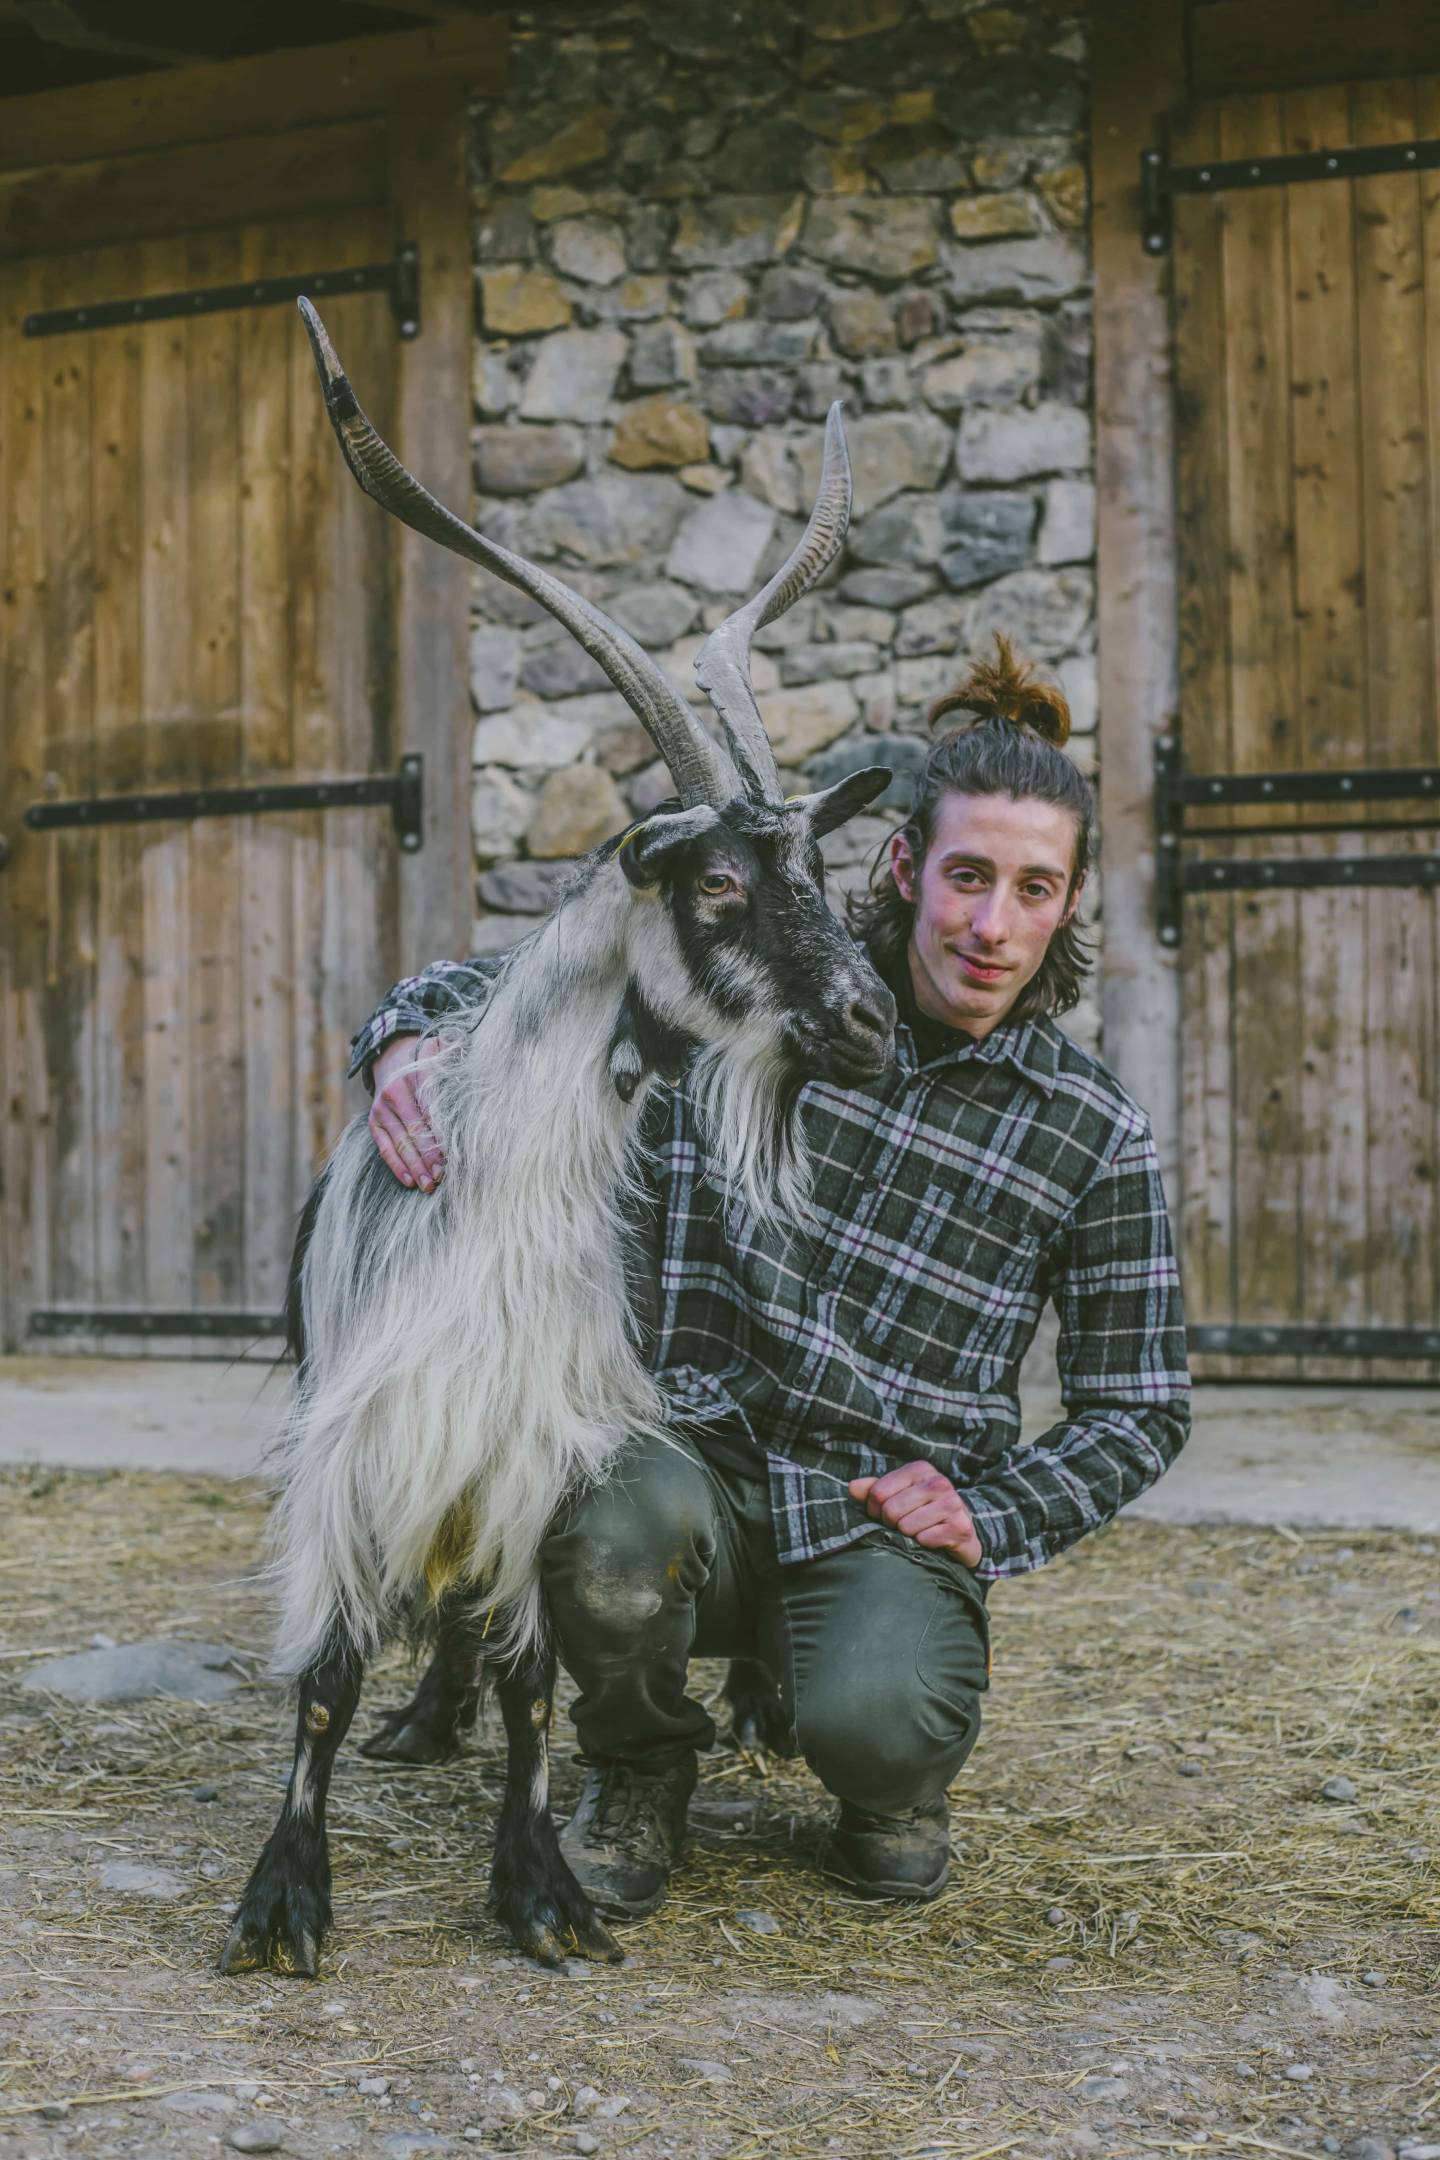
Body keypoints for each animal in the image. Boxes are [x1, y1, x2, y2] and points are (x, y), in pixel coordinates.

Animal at [219, 301, 897, 1980]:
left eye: (824, 866)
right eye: (715, 885)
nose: (870, 1026)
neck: (493, 1194)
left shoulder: (537, 1445)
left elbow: (538, 1678)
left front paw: (540, 1887)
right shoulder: (363, 1438)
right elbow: (320, 1675)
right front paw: (282, 1899)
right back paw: (417, 1718)